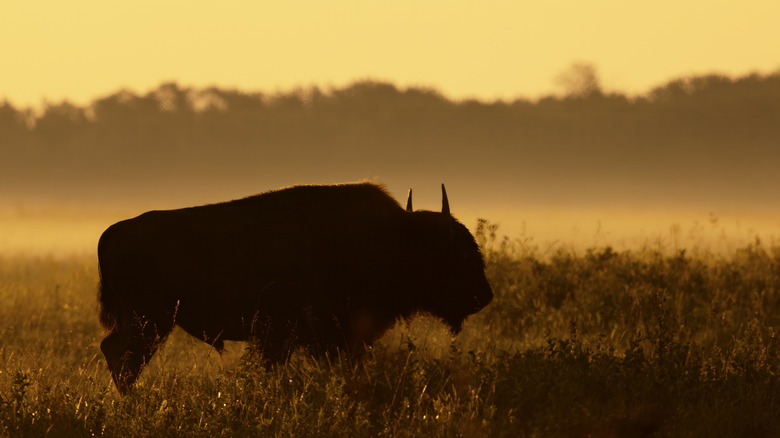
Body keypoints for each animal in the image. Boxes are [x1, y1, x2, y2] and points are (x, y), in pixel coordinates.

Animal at [97, 182, 493, 394]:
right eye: (457, 252)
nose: (485, 295)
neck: (396, 239)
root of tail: (111, 233)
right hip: (151, 322)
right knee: (124, 358)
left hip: (145, 322)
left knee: (116, 354)